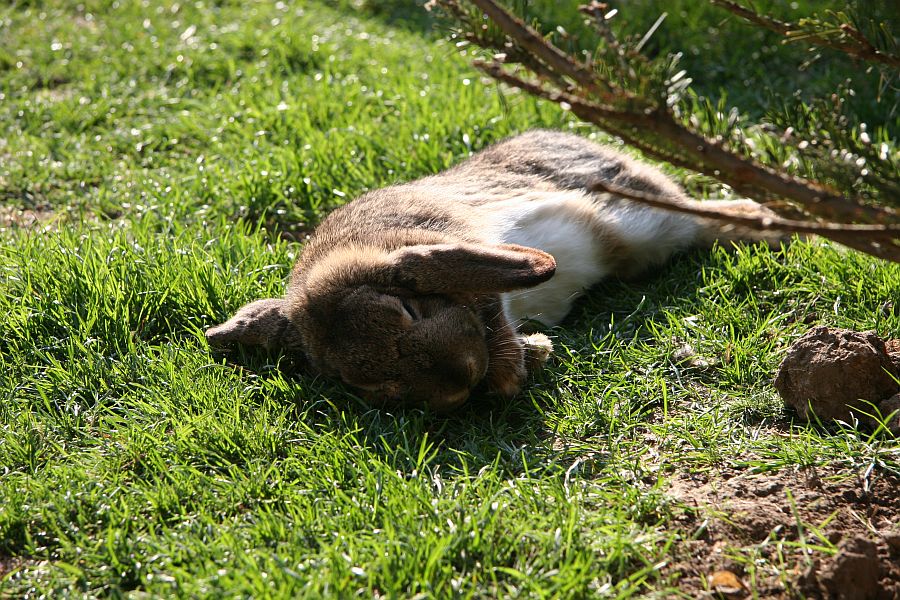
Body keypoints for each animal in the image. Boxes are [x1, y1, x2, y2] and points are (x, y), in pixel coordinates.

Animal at [206, 130, 780, 412]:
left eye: (406, 309)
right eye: (366, 385)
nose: (459, 381)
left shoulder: (459, 249)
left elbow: (491, 311)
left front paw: (513, 370)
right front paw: (532, 356)